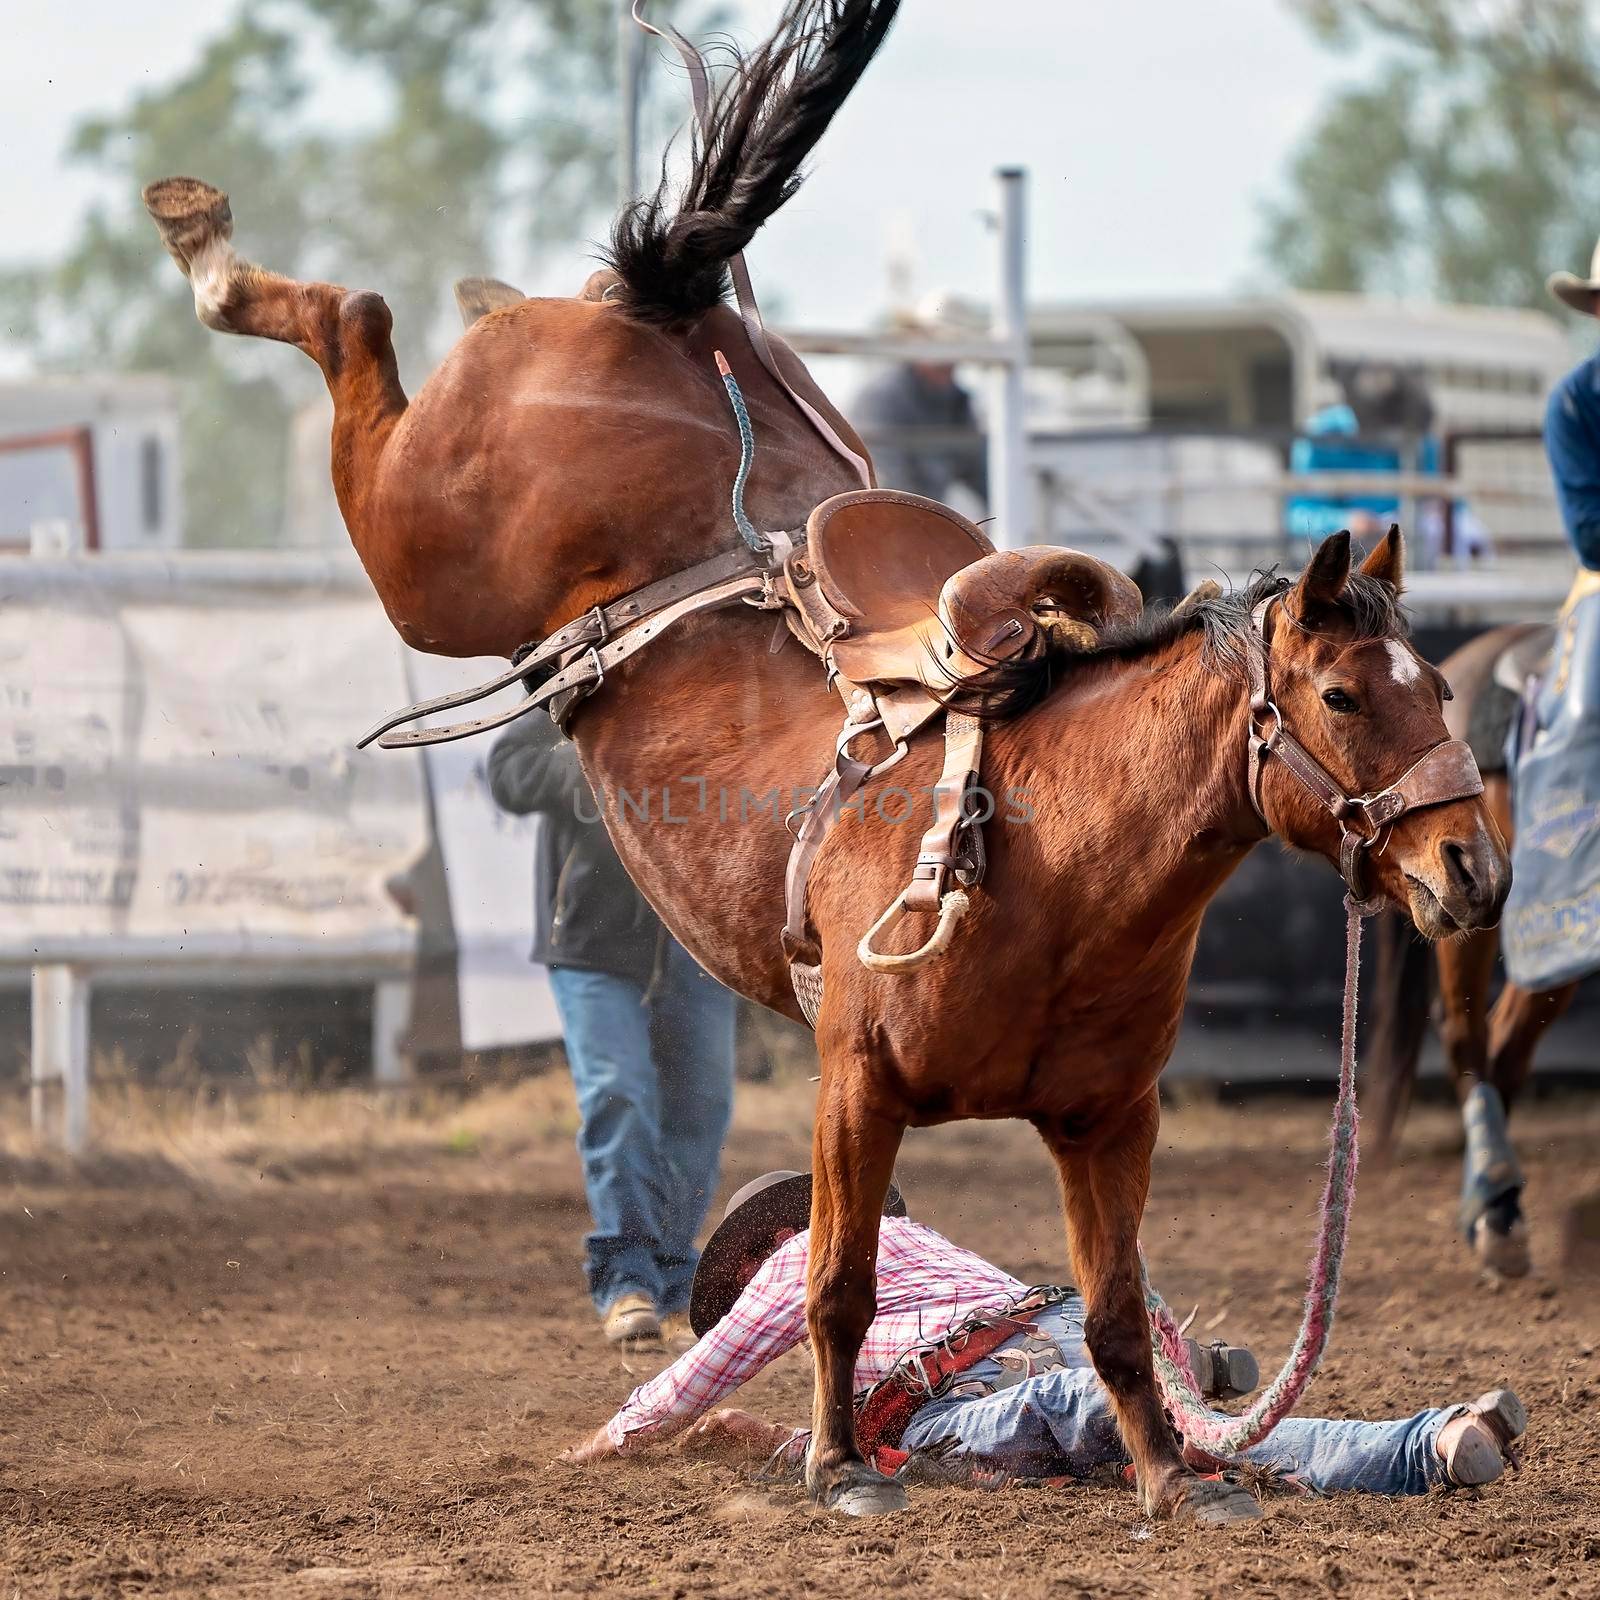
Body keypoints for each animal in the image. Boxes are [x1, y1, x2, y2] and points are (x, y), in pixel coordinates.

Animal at [144, 0, 1504, 1523]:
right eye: (1341, 691)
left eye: (1440, 681)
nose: (1472, 865)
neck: (1047, 858)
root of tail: (671, 310)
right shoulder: (854, 1084)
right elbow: (840, 1282)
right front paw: (842, 1463)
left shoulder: (1108, 1121)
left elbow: (1108, 1306)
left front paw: (1172, 1476)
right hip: (428, 552)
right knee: (356, 322)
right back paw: (210, 245)